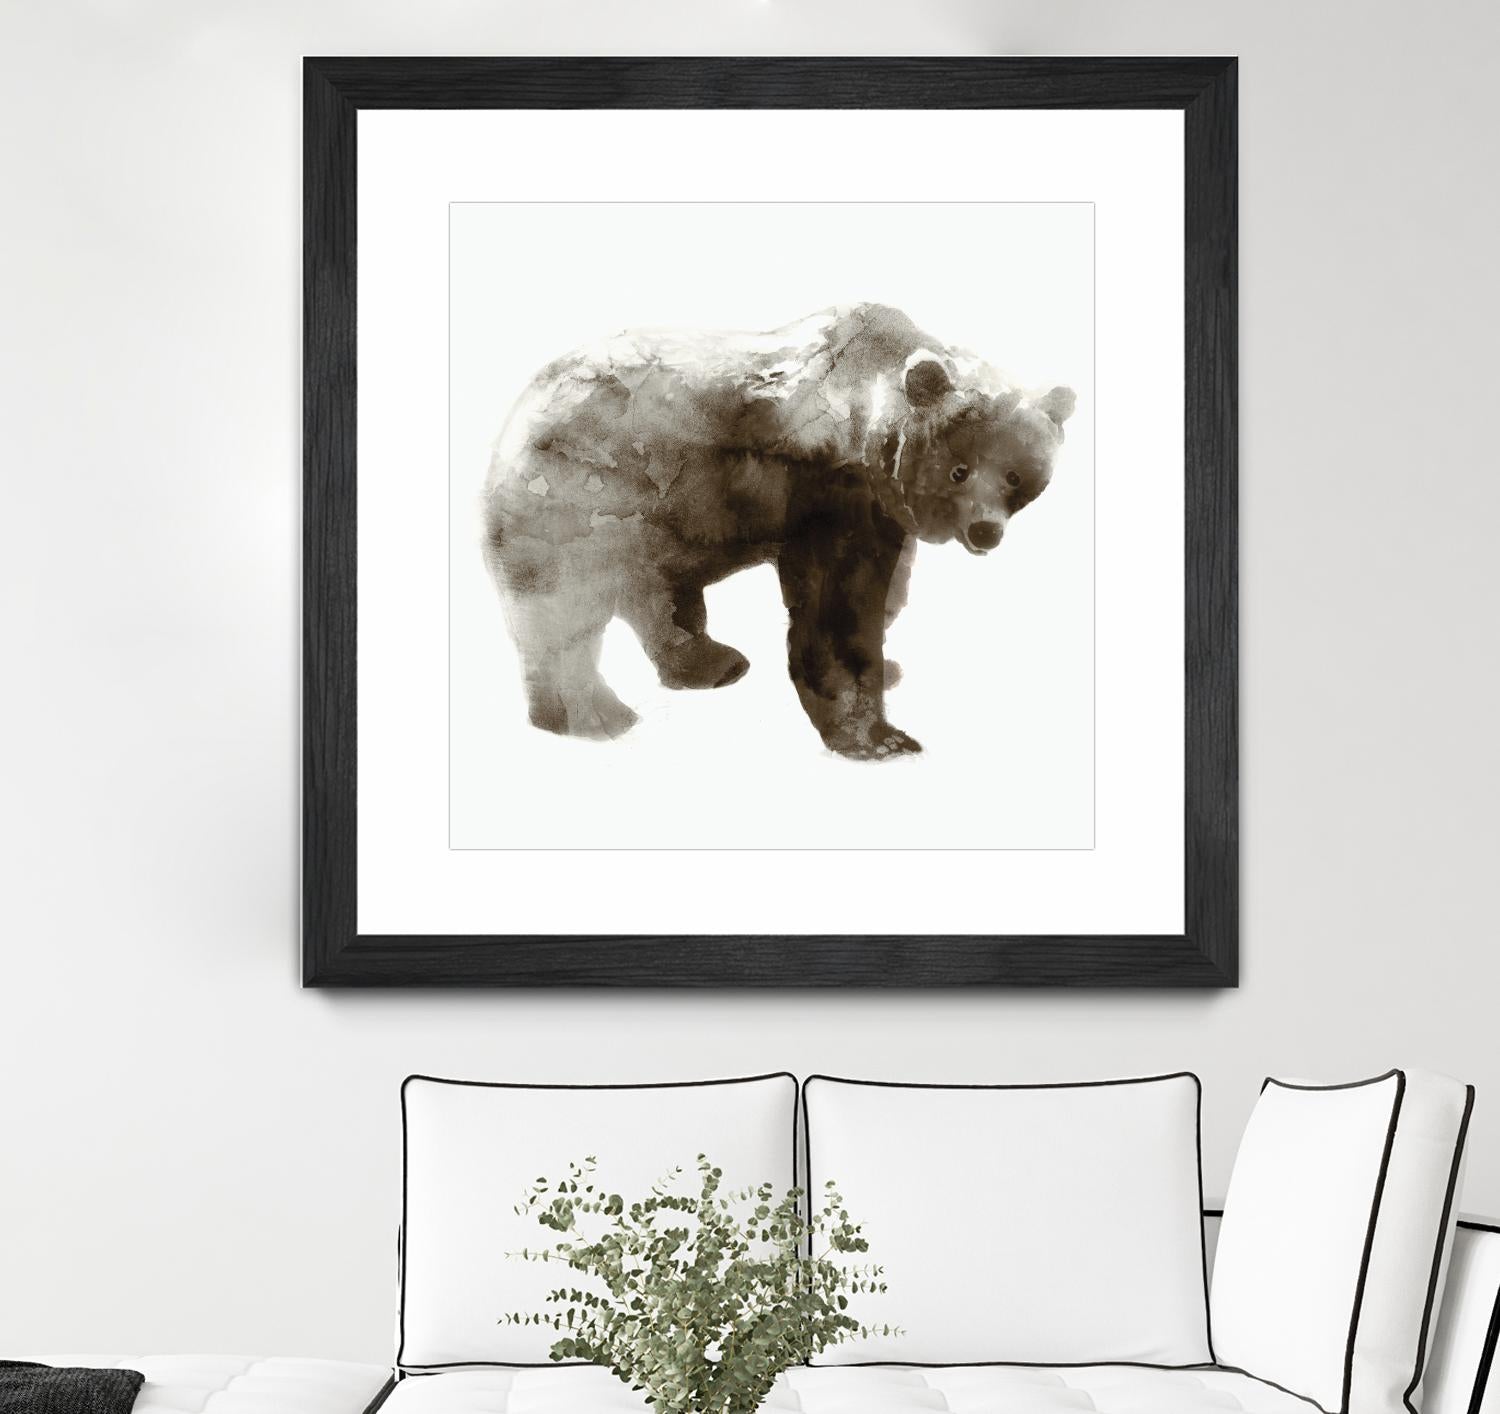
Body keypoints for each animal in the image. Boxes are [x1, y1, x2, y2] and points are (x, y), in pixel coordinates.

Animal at [482, 302, 1075, 760]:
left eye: (1017, 476)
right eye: (959, 469)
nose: (985, 530)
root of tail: (518, 410)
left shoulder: (882, 509)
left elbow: (889, 590)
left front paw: (889, 667)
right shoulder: (828, 490)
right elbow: (838, 607)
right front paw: (881, 737)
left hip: (661, 523)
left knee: (658, 593)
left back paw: (711, 663)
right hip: (583, 497)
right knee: (564, 608)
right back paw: (593, 716)